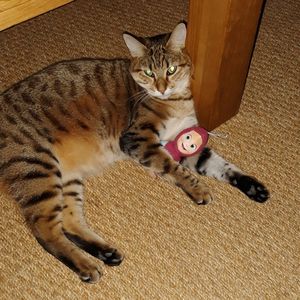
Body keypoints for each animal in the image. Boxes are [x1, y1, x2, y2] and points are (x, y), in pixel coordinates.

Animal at [0, 22, 268, 282]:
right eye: (149, 73)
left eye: (171, 69)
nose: (161, 88)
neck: (175, 101)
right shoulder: (137, 138)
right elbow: (174, 168)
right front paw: (198, 189)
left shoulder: (182, 139)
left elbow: (218, 164)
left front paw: (252, 186)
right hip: (37, 168)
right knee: (44, 232)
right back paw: (86, 265)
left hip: (66, 177)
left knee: (69, 221)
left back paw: (105, 253)